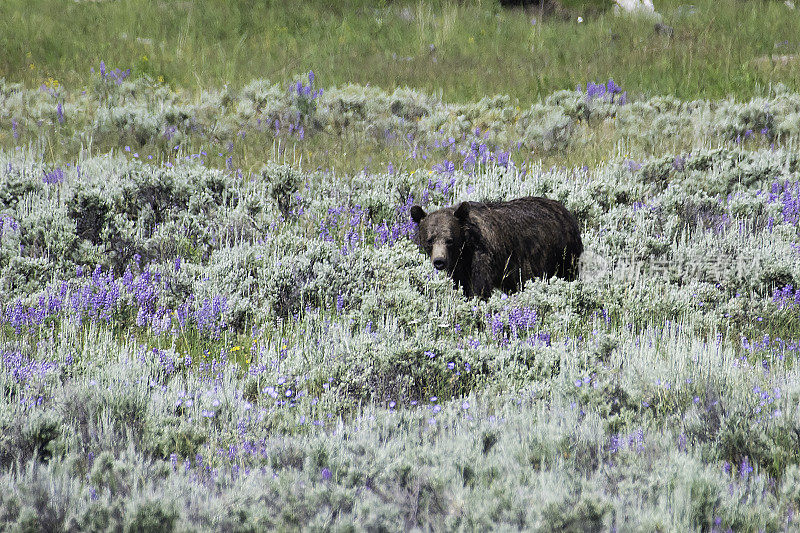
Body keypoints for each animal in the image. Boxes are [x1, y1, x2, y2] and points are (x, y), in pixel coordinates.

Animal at [412, 195, 580, 298]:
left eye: (450, 240)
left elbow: (480, 288)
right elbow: (461, 285)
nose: (439, 261)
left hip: (562, 253)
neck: (466, 249)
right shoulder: (460, 267)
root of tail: (565, 210)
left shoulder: (483, 256)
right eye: (429, 240)